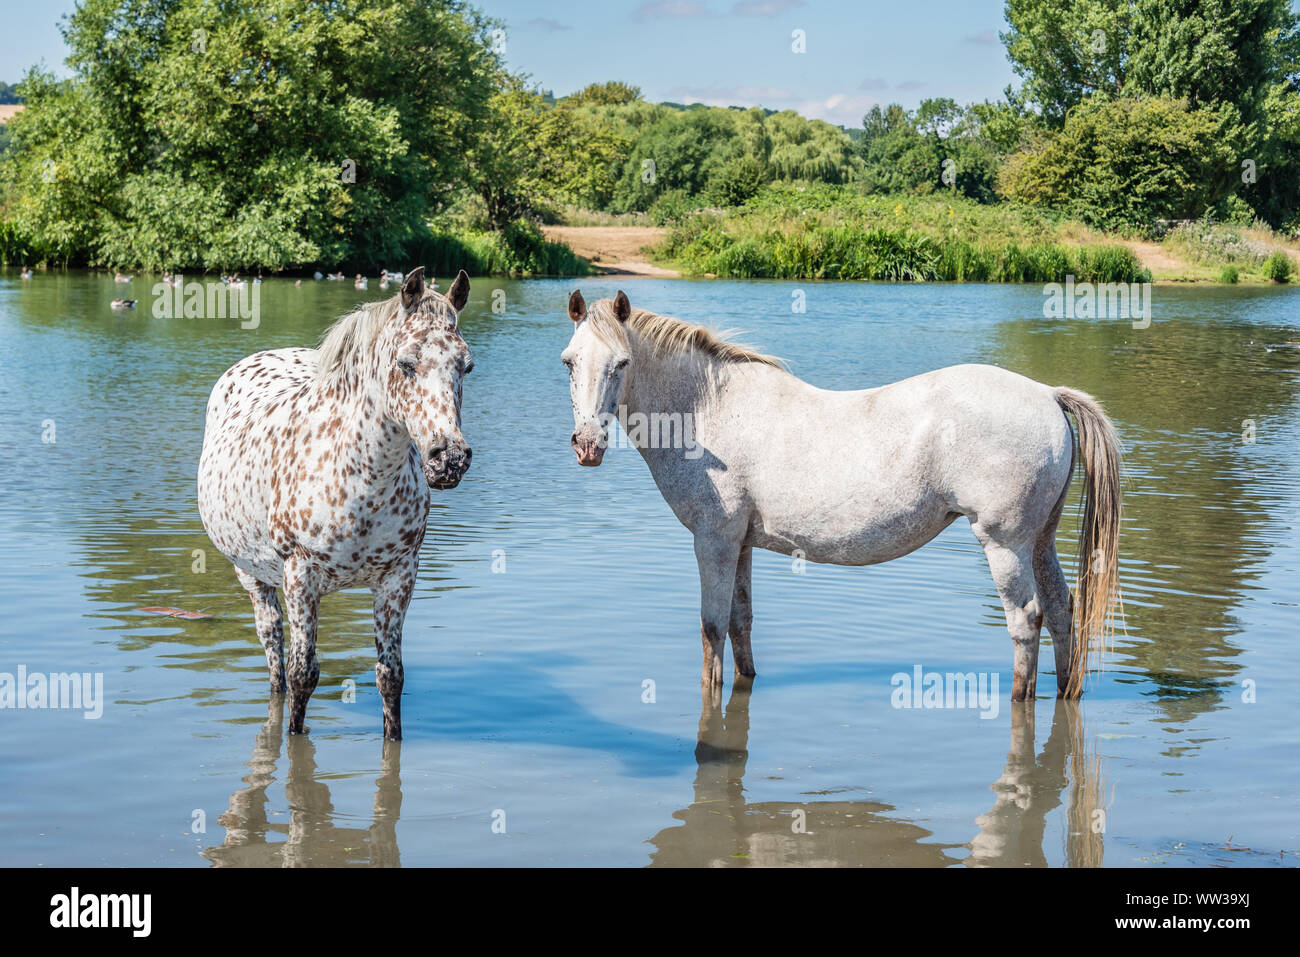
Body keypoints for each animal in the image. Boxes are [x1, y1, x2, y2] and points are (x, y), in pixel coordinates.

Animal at [198, 267, 474, 739]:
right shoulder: (301, 576)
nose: (449, 459)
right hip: (253, 576)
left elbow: (390, 677)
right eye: (406, 363)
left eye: (467, 365)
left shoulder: (398, 577)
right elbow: (302, 675)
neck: (360, 478)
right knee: (273, 651)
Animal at [561, 289, 1122, 701]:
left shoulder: (713, 540)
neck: (707, 410)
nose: (587, 444)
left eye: (622, 362)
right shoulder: (740, 543)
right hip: (1040, 539)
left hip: (1005, 544)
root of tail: (1047, 394)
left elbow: (712, 629)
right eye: (569, 362)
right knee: (1062, 610)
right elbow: (741, 623)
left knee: (1027, 620)